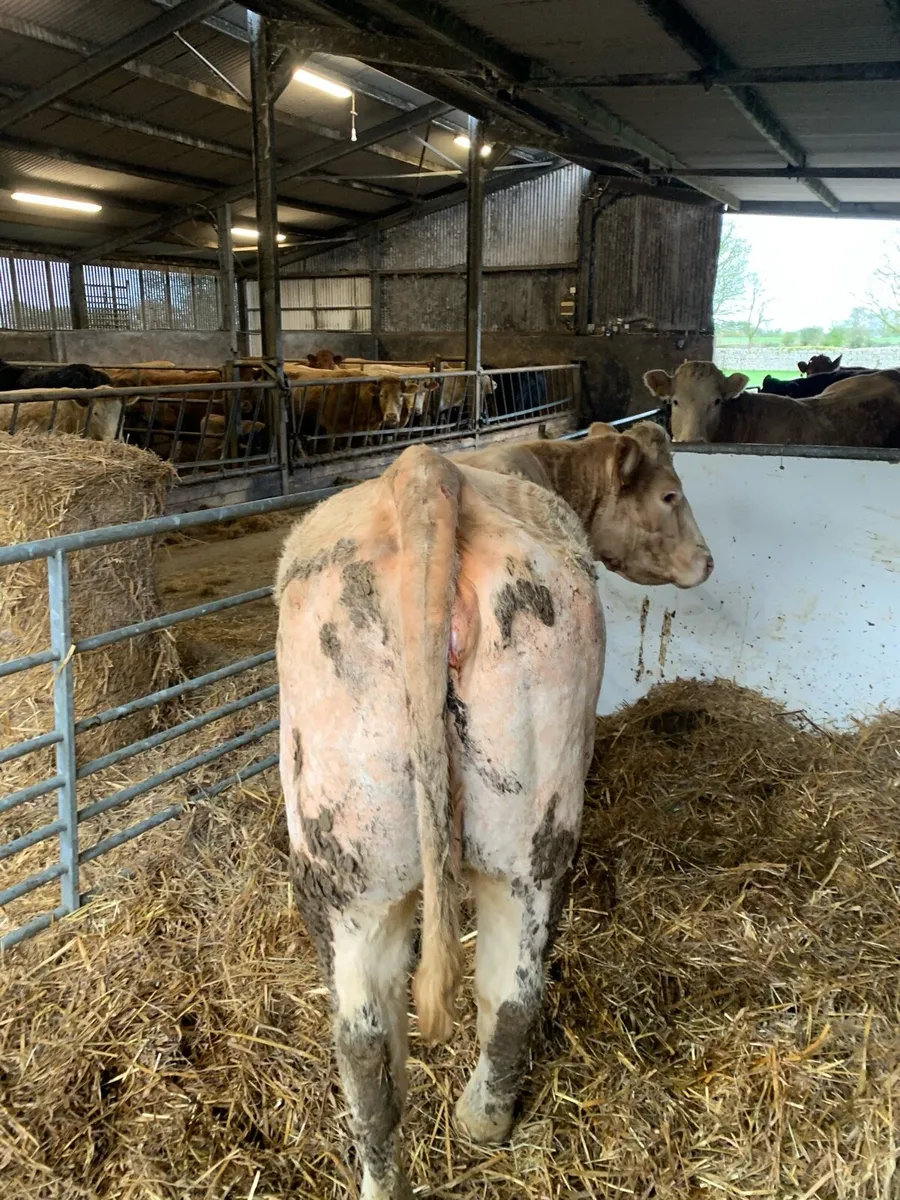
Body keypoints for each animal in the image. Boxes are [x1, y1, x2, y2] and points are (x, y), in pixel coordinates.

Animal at [277, 429, 712, 1199]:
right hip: (525, 836)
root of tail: (426, 473)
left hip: (347, 862)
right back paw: (484, 1120)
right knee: (511, 990)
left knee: (367, 1044)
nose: (709, 560)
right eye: (670, 494)